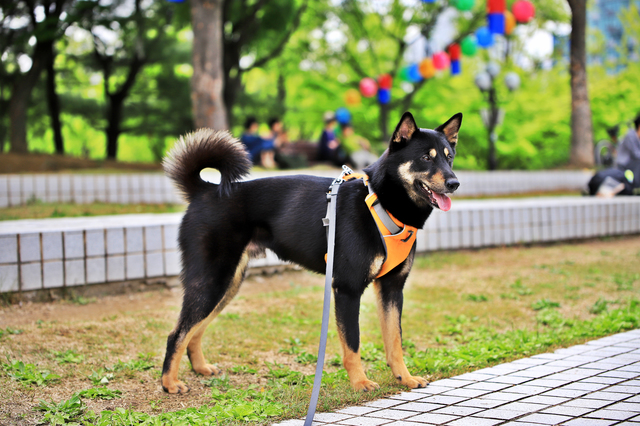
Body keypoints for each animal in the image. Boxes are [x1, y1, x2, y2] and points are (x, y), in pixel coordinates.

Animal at [160, 112, 460, 392]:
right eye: (426, 157)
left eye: (450, 158)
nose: (454, 183)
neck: (381, 202)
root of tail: (206, 190)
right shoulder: (347, 289)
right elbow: (353, 344)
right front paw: (360, 383)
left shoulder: (391, 288)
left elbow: (395, 340)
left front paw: (404, 378)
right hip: (212, 280)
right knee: (177, 333)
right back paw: (169, 383)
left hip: (228, 284)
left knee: (194, 330)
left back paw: (200, 368)